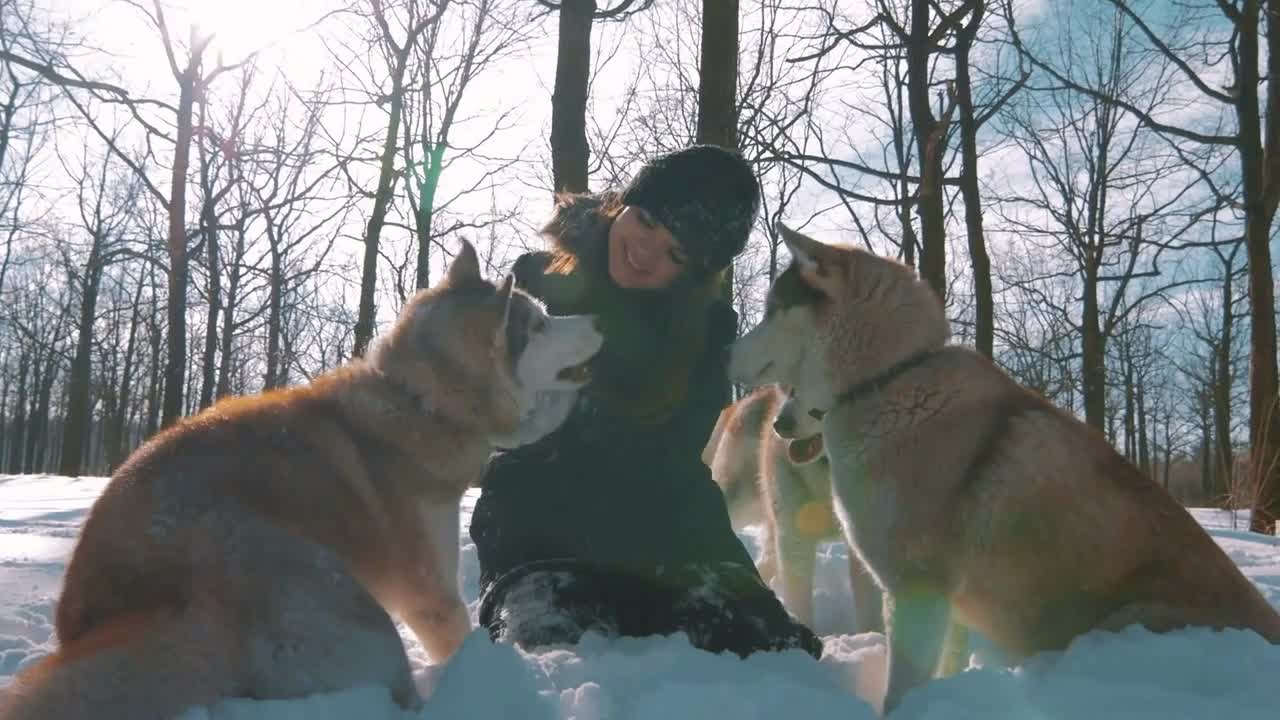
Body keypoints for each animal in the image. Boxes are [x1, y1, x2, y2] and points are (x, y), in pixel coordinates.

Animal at [1, 240, 604, 717]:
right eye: (541, 323)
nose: (599, 319)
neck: (420, 402)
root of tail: (150, 597)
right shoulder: (429, 592)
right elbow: (457, 637)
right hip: (348, 602)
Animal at [732, 222, 1280, 712]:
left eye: (772, 310)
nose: (724, 347)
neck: (892, 378)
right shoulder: (947, 604)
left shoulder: (916, 590)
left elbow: (902, 688)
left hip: (1128, 623)